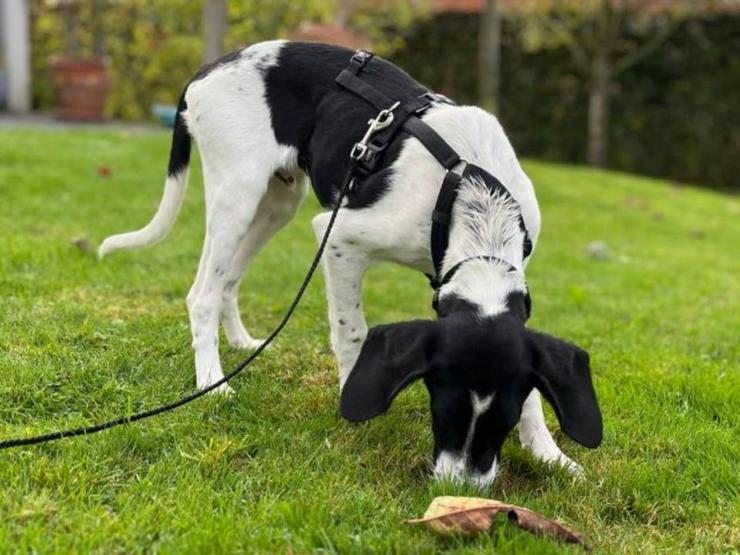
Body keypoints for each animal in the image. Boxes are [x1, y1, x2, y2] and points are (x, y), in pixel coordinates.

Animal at [98, 41, 604, 486]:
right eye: (444, 410)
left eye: (502, 422)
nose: (461, 488)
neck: (475, 195)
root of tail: (211, 68)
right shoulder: (337, 237)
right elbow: (352, 332)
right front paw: (350, 397)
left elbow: (533, 388)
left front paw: (548, 453)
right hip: (237, 195)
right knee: (201, 293)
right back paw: (213, 381)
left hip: (278, 202)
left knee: (227, 280)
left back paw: (240, 341)